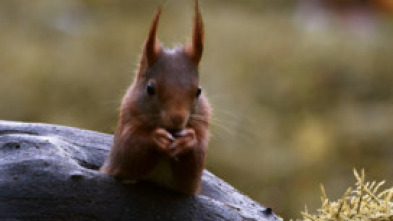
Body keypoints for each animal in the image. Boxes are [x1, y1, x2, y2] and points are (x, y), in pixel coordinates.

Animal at [100, 0, 211, 195]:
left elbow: (195, 162)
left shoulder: (203, 124)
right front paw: (156, 138)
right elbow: (129, 150)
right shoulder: (126, 124)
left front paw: (188, 140)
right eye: (150, 88)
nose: (177, 119)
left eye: (198, 91)